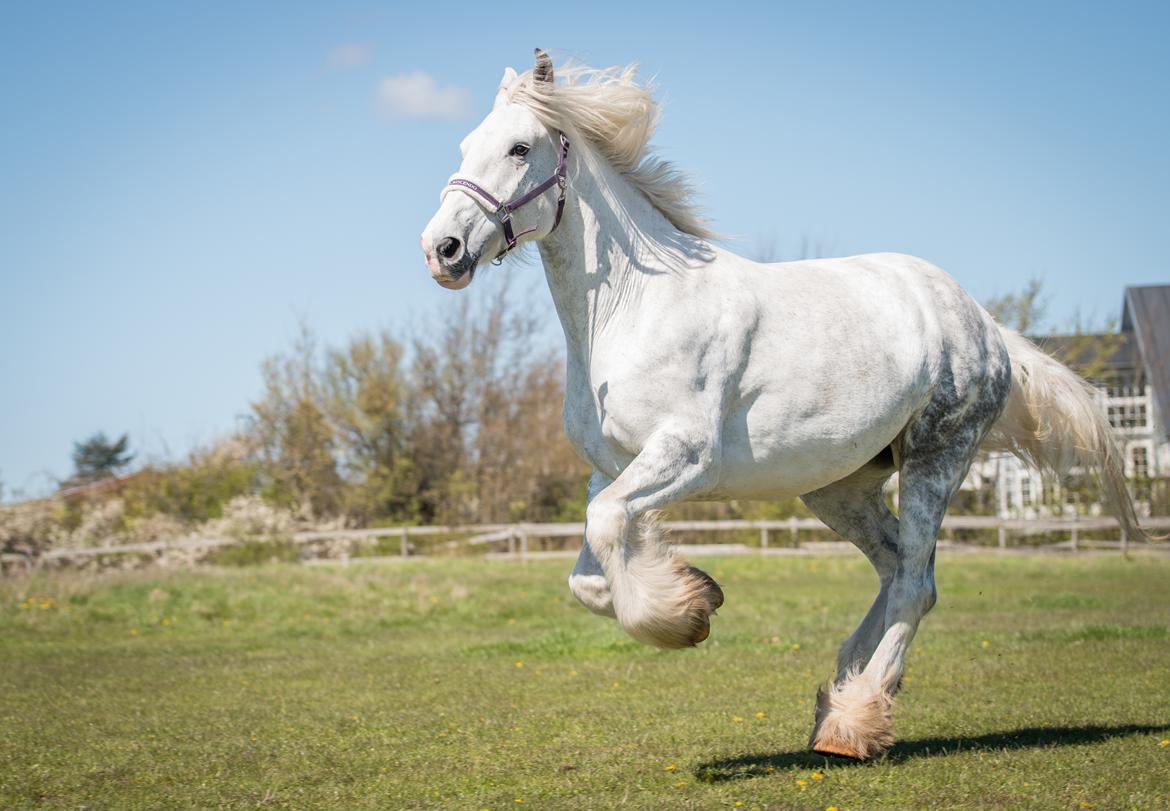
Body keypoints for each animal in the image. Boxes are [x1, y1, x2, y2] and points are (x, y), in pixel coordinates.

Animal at [421, 50, 1151, 758]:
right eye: (464, 144)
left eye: (519, 147)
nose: (441, 249)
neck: (633, 307)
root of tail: (986, 323)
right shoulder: (610, 469)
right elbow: (589, 575)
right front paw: (697, 591)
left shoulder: (684, 457)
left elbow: (607, 532)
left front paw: (684, 616)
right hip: (838, 487)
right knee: (896, 566)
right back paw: (846, 690)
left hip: (936, 458)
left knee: (915, 583)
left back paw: (854, 723)